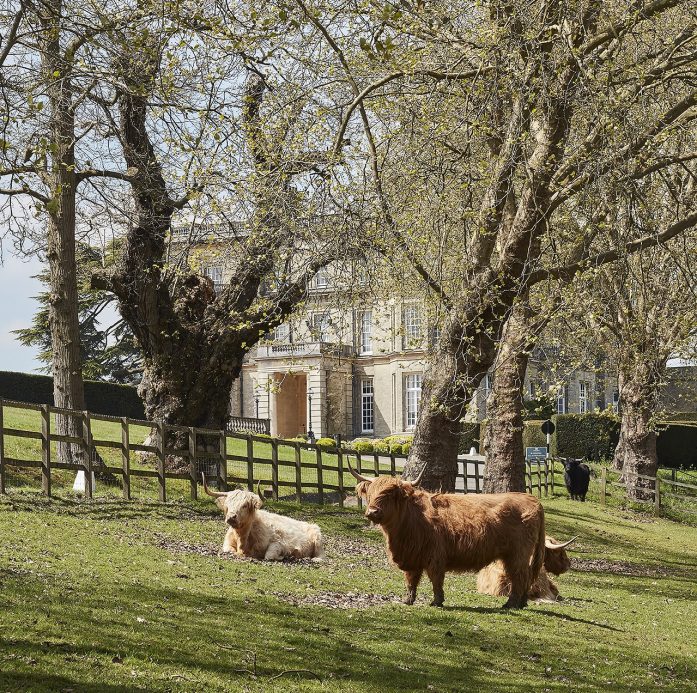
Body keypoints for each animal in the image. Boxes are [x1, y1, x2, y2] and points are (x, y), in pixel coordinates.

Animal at [348, 462, 548, 608]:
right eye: (370, 493)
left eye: (389, 494)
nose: (372, 512)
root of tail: (531, 499)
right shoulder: (412, 556)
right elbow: (411, 580)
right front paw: (408, 600)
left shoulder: (435, 555)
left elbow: (436, 579)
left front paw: (437, 601)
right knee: (525, 576)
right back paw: (522, 603)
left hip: (518, 554)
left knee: (520, 575)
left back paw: (511, 604)